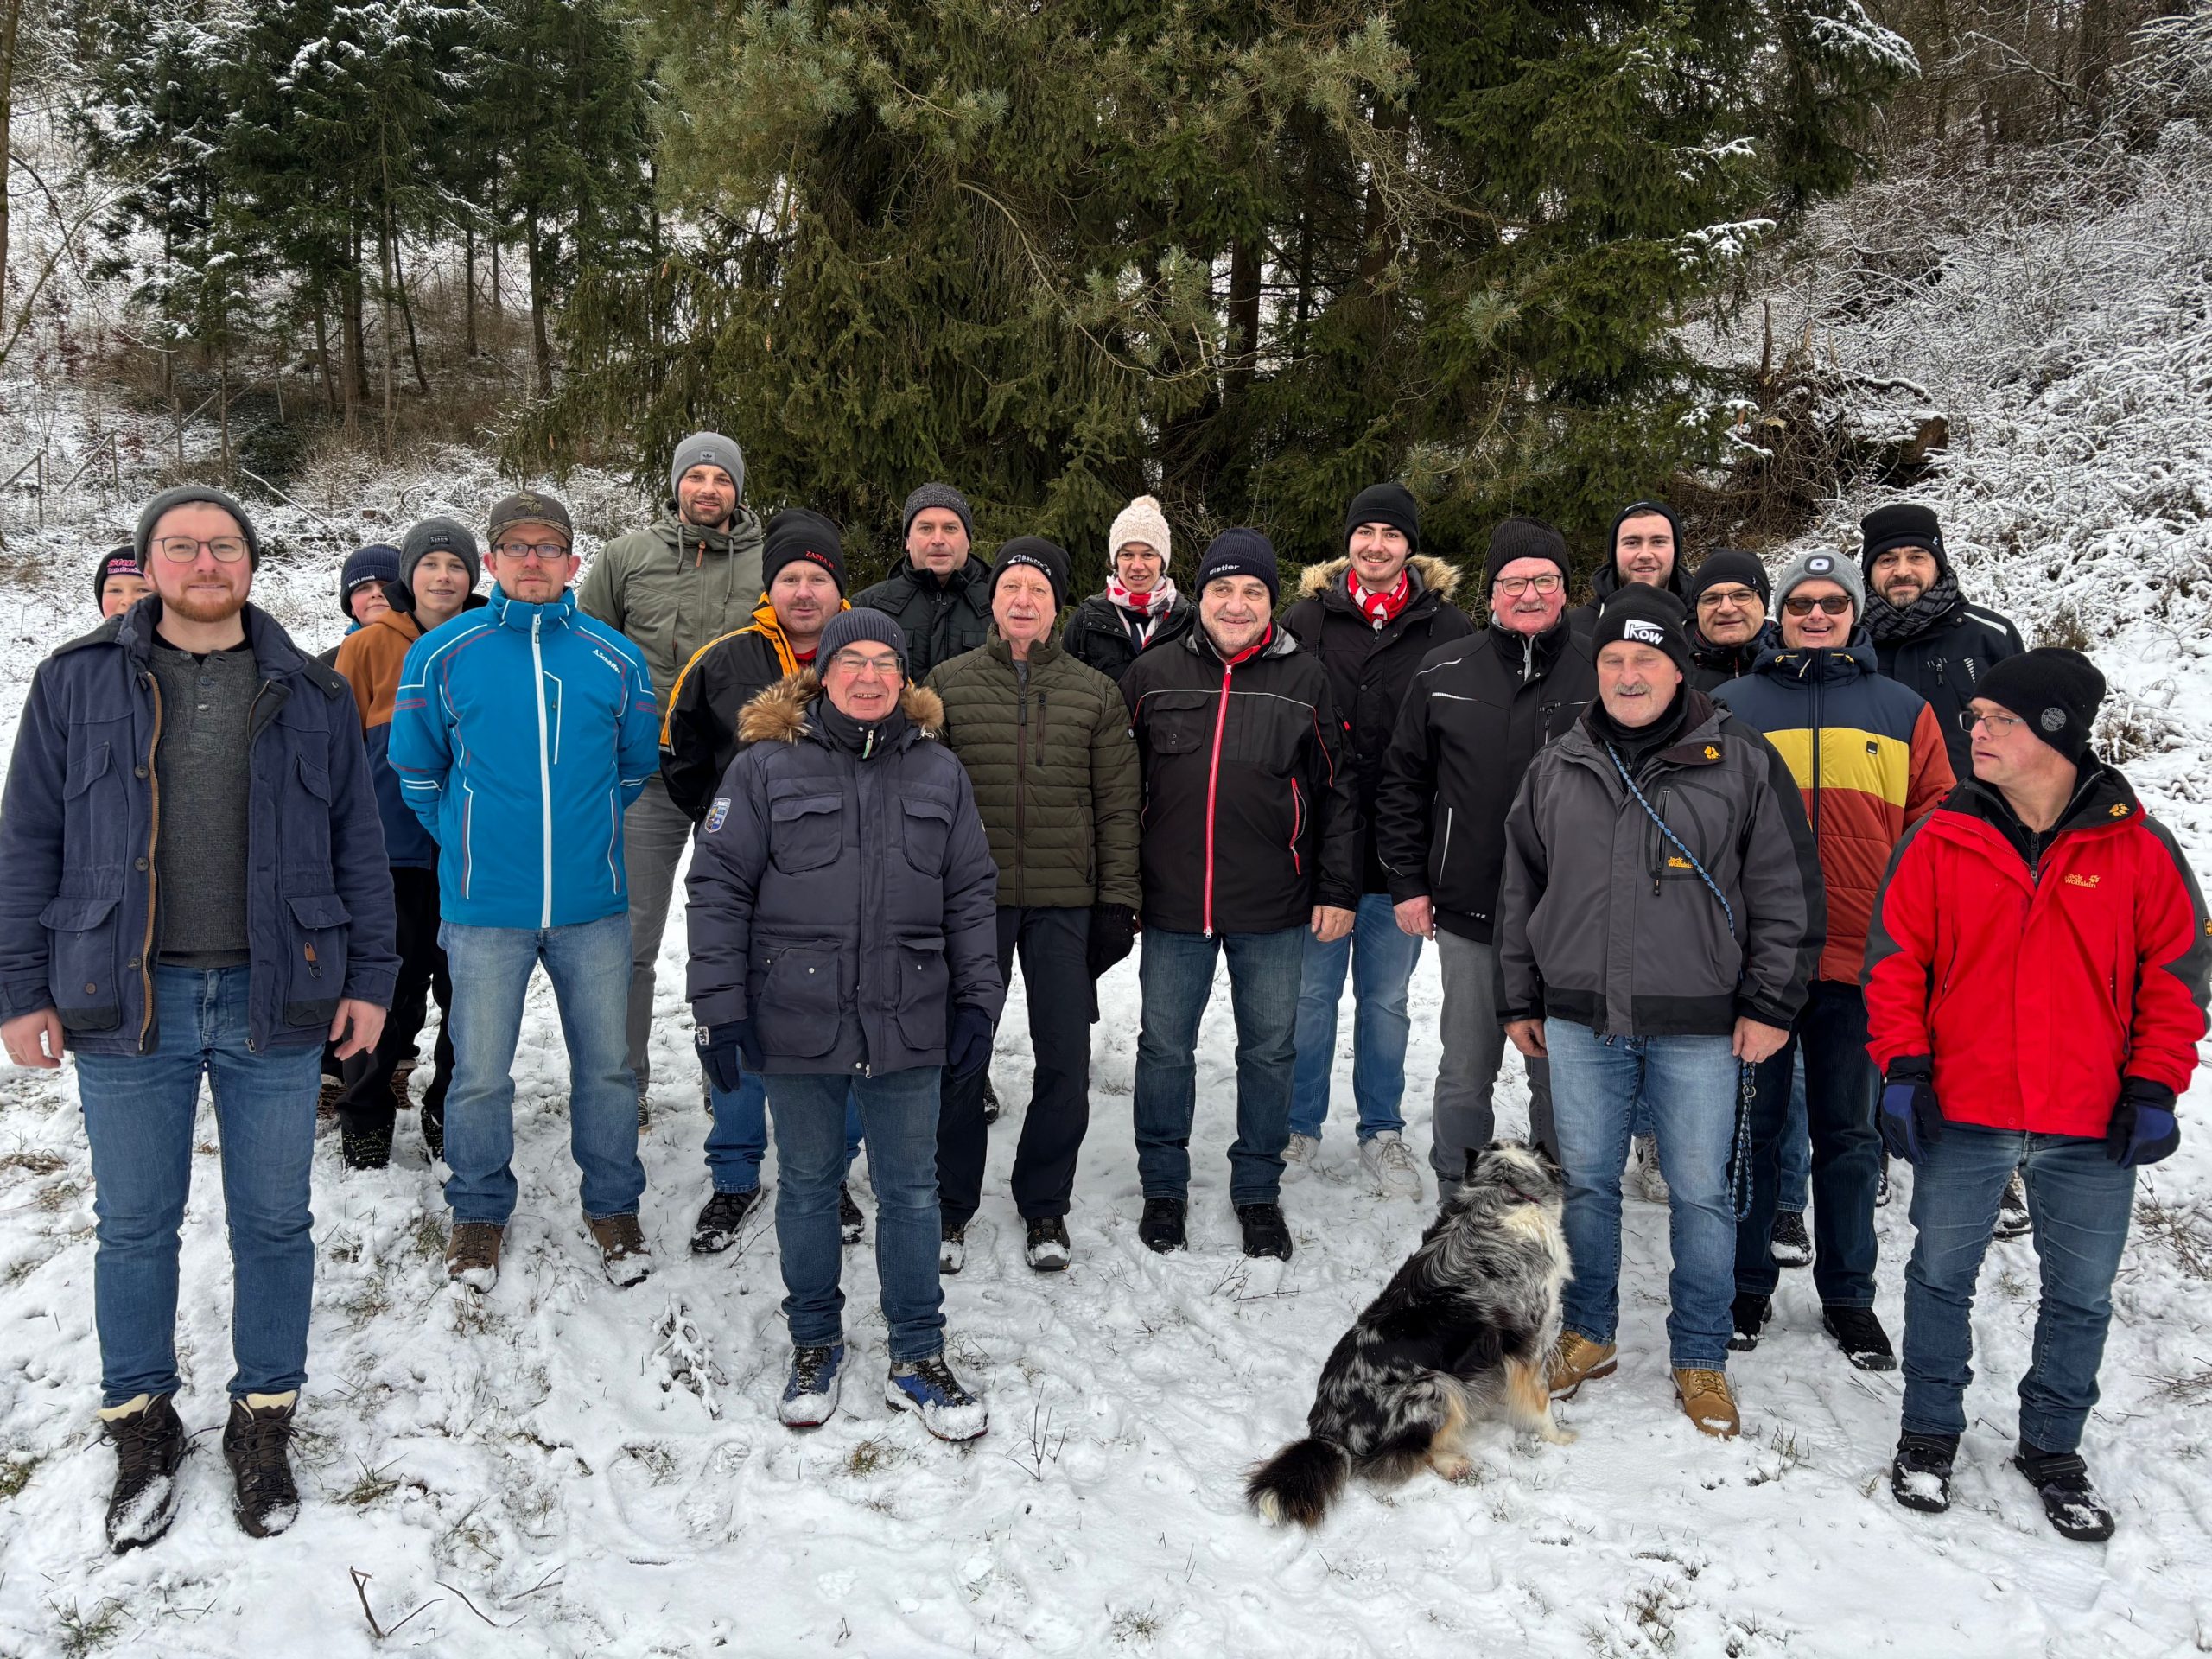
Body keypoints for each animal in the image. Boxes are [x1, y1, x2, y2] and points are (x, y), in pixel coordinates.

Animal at [1245, 1140, 1573, 1528]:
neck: (1502, 1190)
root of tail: (1328, 1434)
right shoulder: (1530, 1340)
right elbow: (1540, 1402)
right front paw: (1560, 1438)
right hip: (1435, 1387)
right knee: (1416, 1452)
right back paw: (1453, 1462)